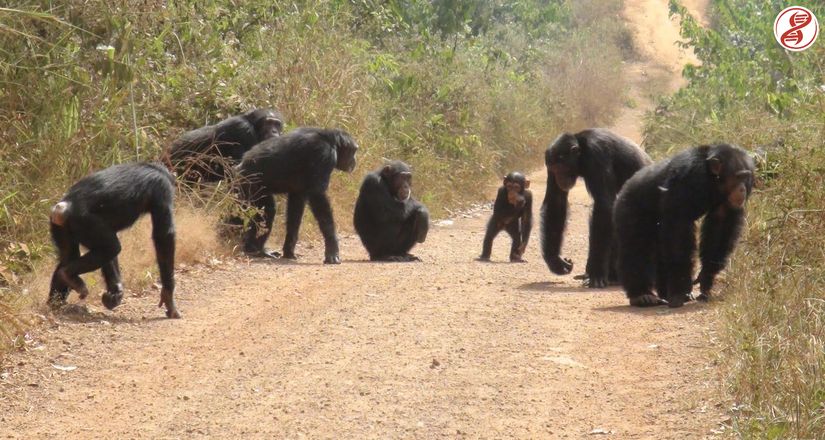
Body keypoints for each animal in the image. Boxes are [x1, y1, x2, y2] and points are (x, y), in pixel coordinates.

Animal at [48, 163, 180, 318]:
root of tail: (62, 207)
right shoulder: (162, 187)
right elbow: (164, 235)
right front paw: (168, 297)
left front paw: (116, 291)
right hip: (84, 222)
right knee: (111, 247)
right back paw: (68, 275)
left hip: (59, 227)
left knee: (69, 256)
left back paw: (55, 303)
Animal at [235, 127, 358, 264]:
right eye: (354, 151)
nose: (355, 160)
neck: (331, 142)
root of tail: (239, 167)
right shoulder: (323, 154)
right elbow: (319, 199)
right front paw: (332, 250)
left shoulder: (298, 192)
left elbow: (296, 209)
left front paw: (289, 251)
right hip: (251, 185)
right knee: (268, 210)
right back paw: (258, 249)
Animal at [540, 127, 652, 288]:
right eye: (554, 169)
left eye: (561, 167)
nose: (559, 178)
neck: (582, 152)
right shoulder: (548, 159)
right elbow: (556, 200)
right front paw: (556, 261)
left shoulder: (597, 155)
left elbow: (604, 206)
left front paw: (596, 273)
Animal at [616, 143, 756, 308]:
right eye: (738, 177)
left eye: (746, 177)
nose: (742, 189)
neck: (711, 179)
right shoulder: (686, 178)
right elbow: (678, 228)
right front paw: (680, 289)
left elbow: (721, 225)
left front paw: (706, 276)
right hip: (629, 207)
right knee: (636, 247)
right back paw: (642, 295)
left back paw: (665, 293)